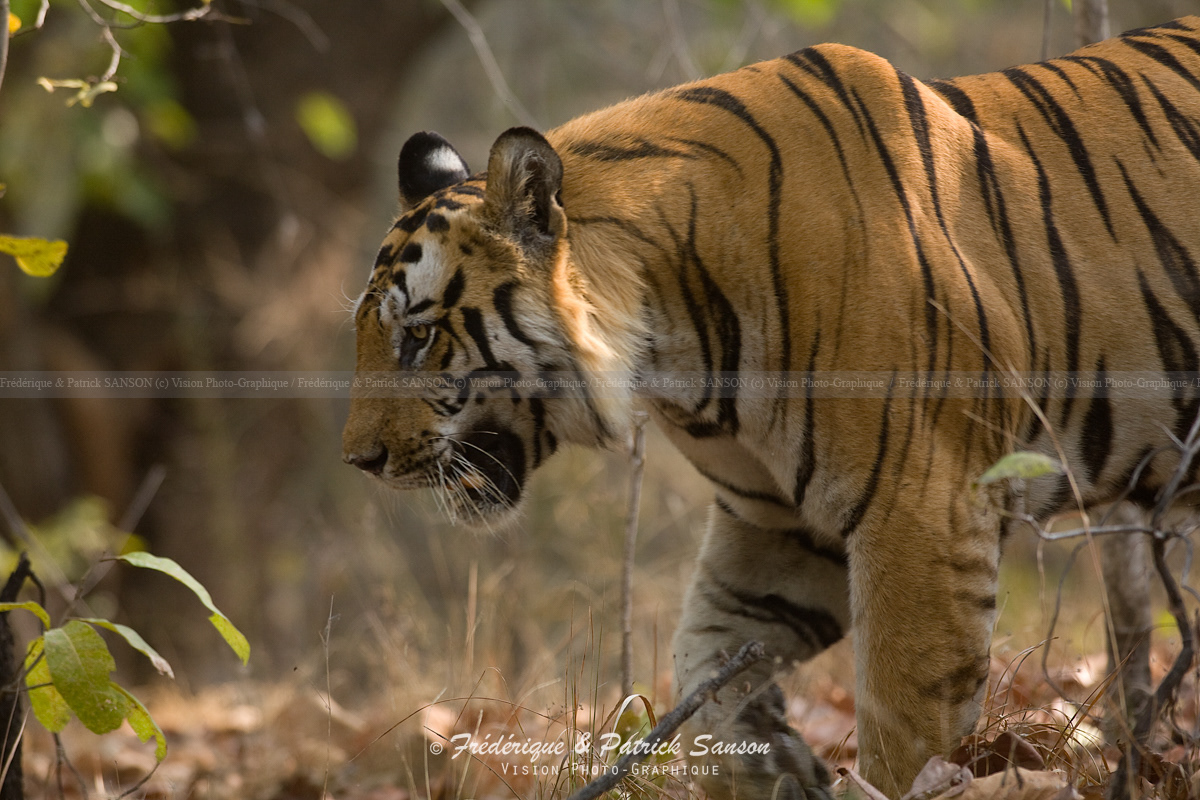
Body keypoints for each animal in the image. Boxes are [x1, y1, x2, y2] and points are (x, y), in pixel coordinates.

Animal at [342, 16, 1200, 799]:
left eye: (417, 336)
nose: (359, 461)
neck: (675, 342)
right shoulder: (777, 526)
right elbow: (707, 666)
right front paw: (779, 763)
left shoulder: (923, 513)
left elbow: (905, 729)